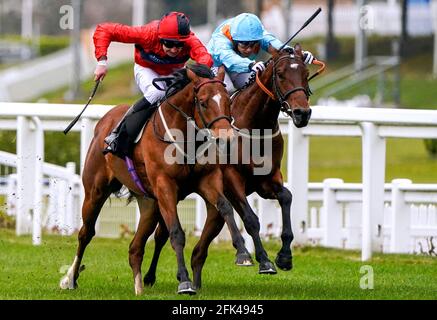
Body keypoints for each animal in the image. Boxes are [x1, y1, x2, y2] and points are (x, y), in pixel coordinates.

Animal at [58, 63, 250, 296]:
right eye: (203, 102)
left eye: (227, 101)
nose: (227, 139)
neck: (184, 137)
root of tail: (105, 120)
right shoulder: (165, 185)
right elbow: (176, 232)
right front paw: (185, 282)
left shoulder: (207, 179)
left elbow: (225, 207)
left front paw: (243, 253)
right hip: (95, 191)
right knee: (86, 233)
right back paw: (71, 278)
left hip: (149, 204)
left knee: (135, 247)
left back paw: (138, 286)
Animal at [142, 44, 316, 288]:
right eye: (281, 74)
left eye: (305, 73)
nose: (302, 113)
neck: (255, 127)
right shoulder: (232, 179)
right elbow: (251, 219)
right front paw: (263, 260)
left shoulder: (267, 179)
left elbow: (286, 197)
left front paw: (285, 256)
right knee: (161, 234)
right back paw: (150, 276)